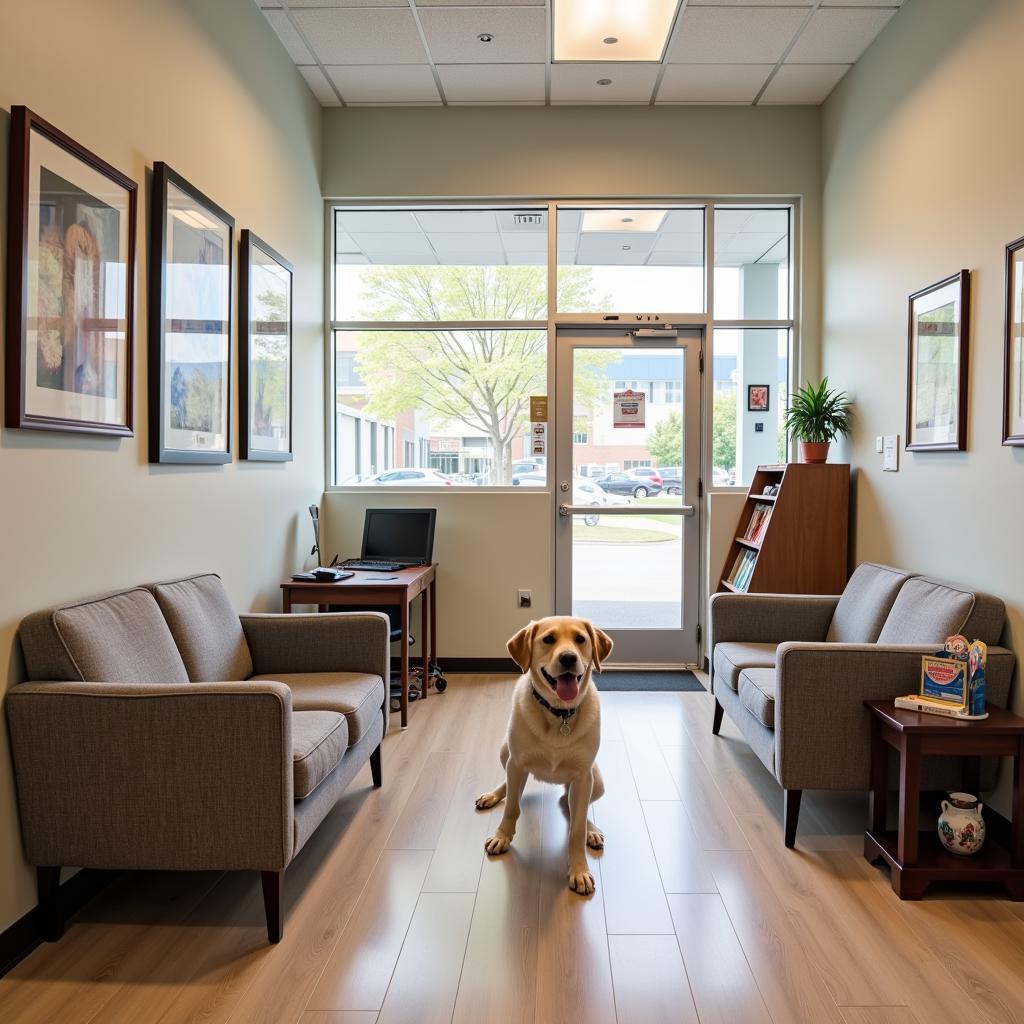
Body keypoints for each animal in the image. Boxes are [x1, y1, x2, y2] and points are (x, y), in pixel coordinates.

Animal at [475, 614, 610, 897]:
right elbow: (512, 808)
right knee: (510, 786)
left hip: (596, 780)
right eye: (548, 639)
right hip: (505, 752)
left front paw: (579, 869)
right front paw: (502, 836)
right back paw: (492, 795)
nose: (568, 658)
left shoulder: (583, 776)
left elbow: (576, 829)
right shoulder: (517, 764)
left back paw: (591, 831)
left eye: (580, 639)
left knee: (574, 807)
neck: (559, 713)